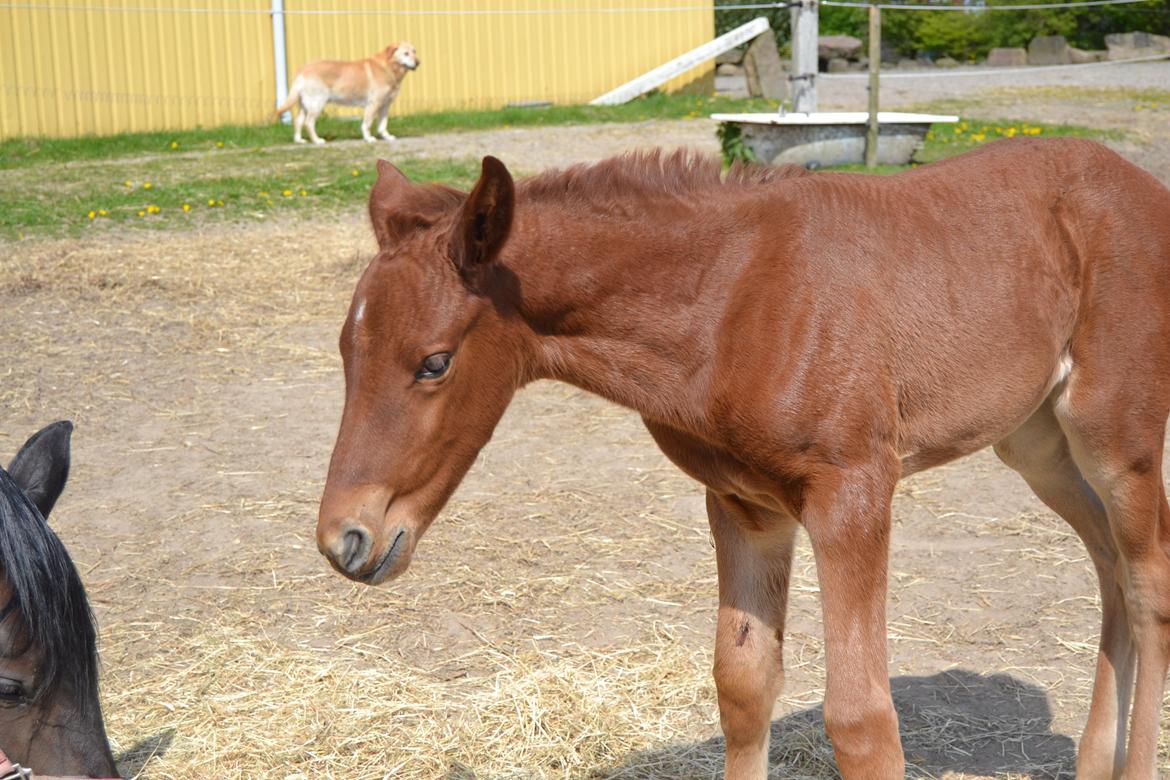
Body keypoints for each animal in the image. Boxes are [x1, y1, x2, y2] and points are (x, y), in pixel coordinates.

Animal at [273, 42, 421, 144]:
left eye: (414, 51)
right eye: (406, 53)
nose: (418, 62)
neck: (389, 67)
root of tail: (303, 70)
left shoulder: (385, 105)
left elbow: (383, 124)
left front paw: (386, 136)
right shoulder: (373, 103)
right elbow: (367, 124)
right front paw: (368, 138)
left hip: (305, 104)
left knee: (298, 121)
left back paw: (299, 140)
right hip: (317, 103)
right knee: (308, 123)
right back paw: (317, 140)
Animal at [322, 137, 1170, 776]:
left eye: (434, 362)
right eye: (345, 349)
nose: (345, 540)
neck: (730, 300)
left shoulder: (853, 493)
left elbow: (860, 718)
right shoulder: (744, 504)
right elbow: (743, 685)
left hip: (1116, 438)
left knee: (1147, 582)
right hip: (1036, 443)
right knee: (1108, 565)